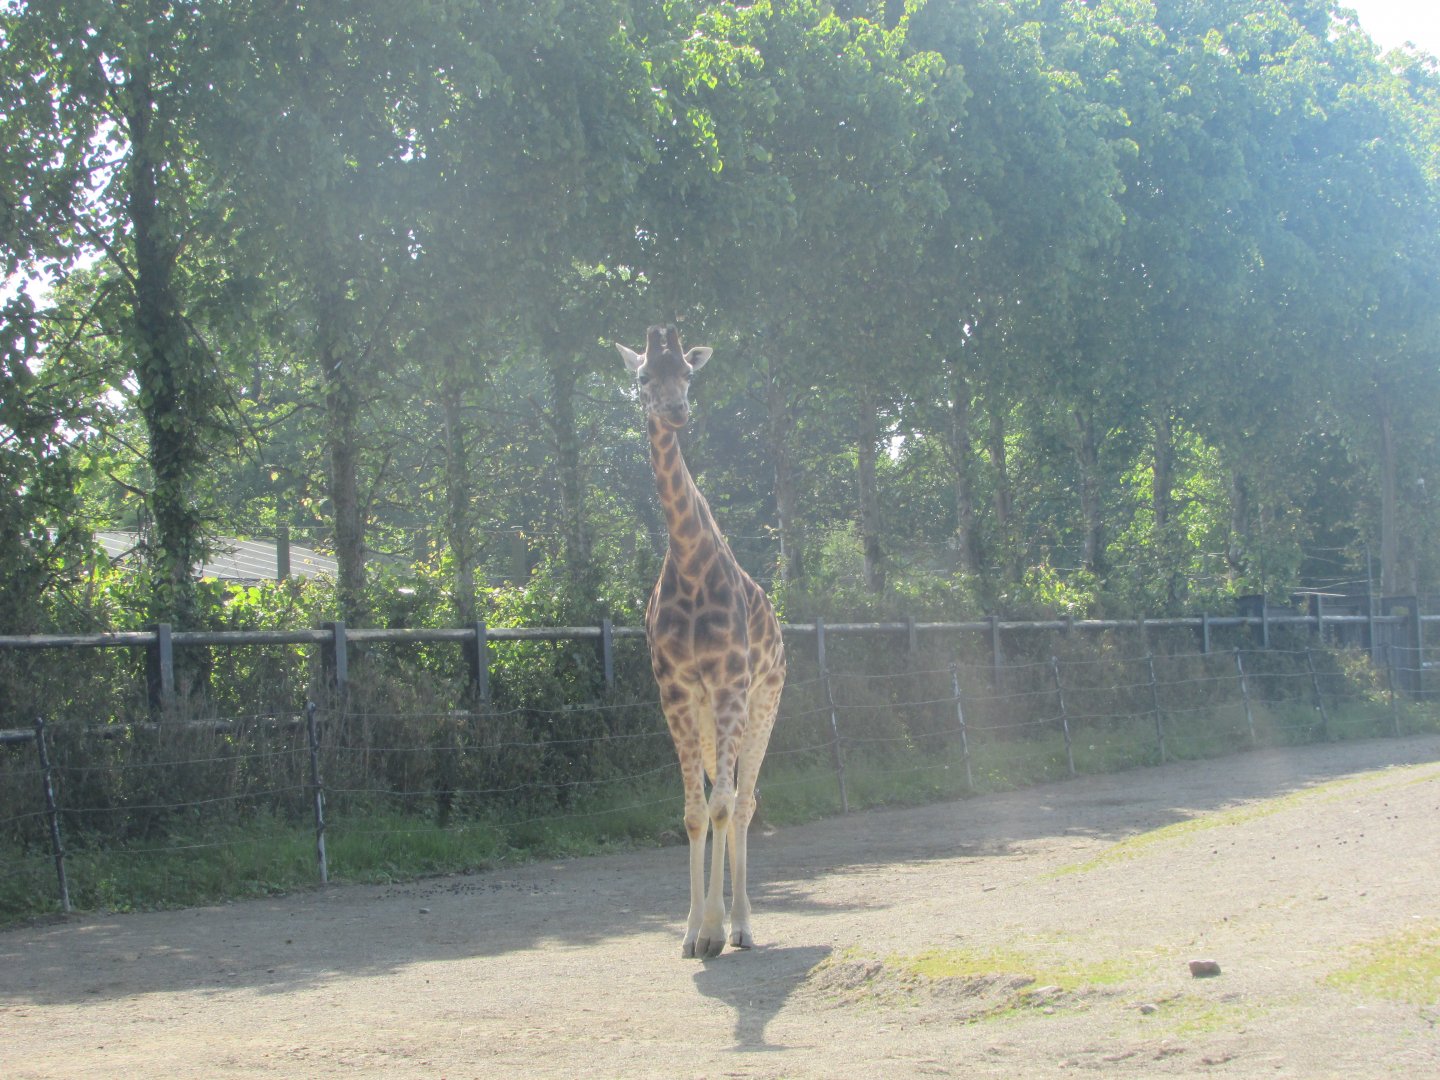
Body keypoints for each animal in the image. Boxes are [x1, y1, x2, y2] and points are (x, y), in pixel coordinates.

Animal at [616, 324, 787, 959]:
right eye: (644, 375)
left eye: (688, 373)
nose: (676, 411)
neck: (688, 561)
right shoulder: (676, 691)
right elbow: (692, 812)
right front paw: (691, 933)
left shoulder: (732, 683)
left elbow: (721, 805)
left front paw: (715, 931)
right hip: (716, 718)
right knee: (726, 797)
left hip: (765, 703)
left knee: (744, 801)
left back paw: (742, 926)